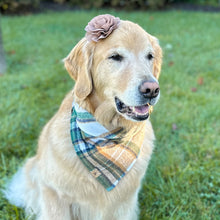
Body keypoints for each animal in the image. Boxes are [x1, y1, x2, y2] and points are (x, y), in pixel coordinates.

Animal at [4, 14, 162, 220]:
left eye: (150, 56)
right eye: (116, 57)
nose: (152, 89)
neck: (105, 133)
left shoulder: (123, 205)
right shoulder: (54, 193)